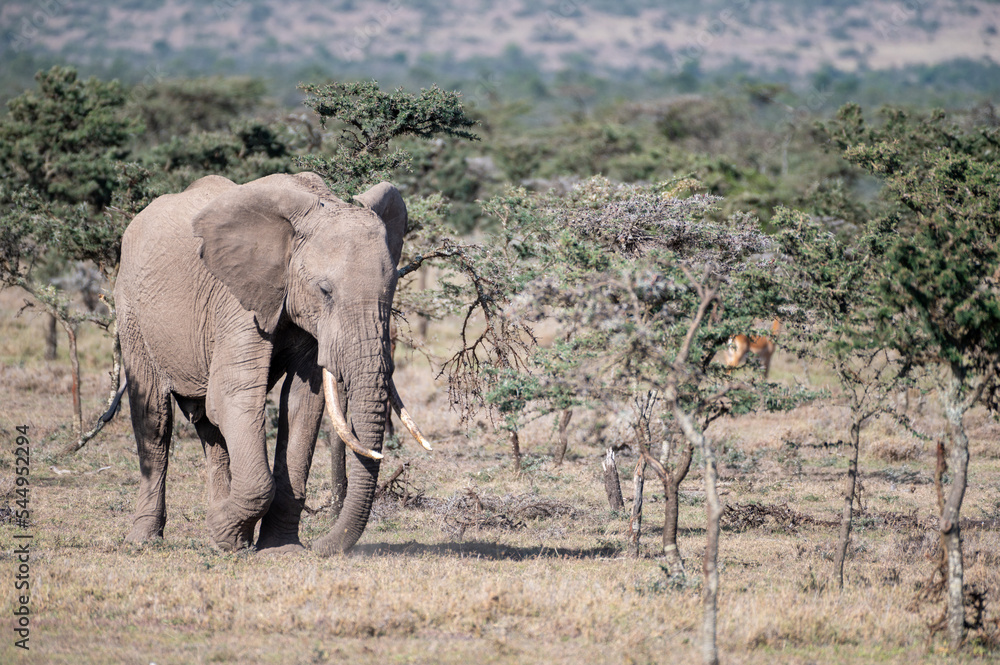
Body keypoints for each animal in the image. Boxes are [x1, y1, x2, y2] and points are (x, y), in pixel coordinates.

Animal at [115, 171, 428, 556]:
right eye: (325, 291)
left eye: (394, 286)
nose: (320, 547)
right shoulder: (235, 301)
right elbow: (234, 395)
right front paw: (227, 531)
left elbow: (302, 403)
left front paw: (278, 548)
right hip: (131, 310)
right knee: (154, 420)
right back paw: (146, 539)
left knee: (209, 426)